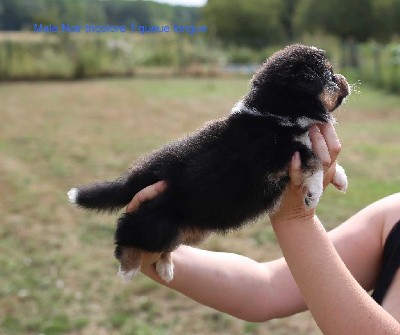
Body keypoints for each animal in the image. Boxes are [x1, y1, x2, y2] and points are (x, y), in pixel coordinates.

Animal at [69, 44, 350, 284]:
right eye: (329, 75)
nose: (344, 80)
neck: (278, 114)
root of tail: (146, 169)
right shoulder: (274, 154)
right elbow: (313, 158)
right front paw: (313, 194)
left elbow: (323, 159)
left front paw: (340, 177)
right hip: (160, 221)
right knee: (127, 231)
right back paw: (128, 268)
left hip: (193, 226)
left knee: (162, 244)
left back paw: (165, 267)